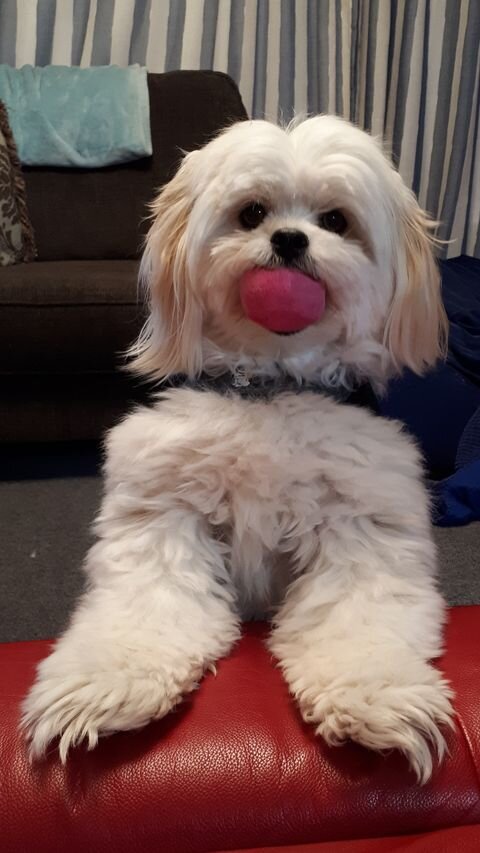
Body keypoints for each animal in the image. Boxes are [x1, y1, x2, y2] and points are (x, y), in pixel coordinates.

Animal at [22, 115, 454, 783]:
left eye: (335, 221)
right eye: (252, 213)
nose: (289, 240)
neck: (271, 387)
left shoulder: (361, 526)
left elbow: (358, 615)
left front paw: (375, 696)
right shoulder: (165, 516)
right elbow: (148, 604)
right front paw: (106, 684)